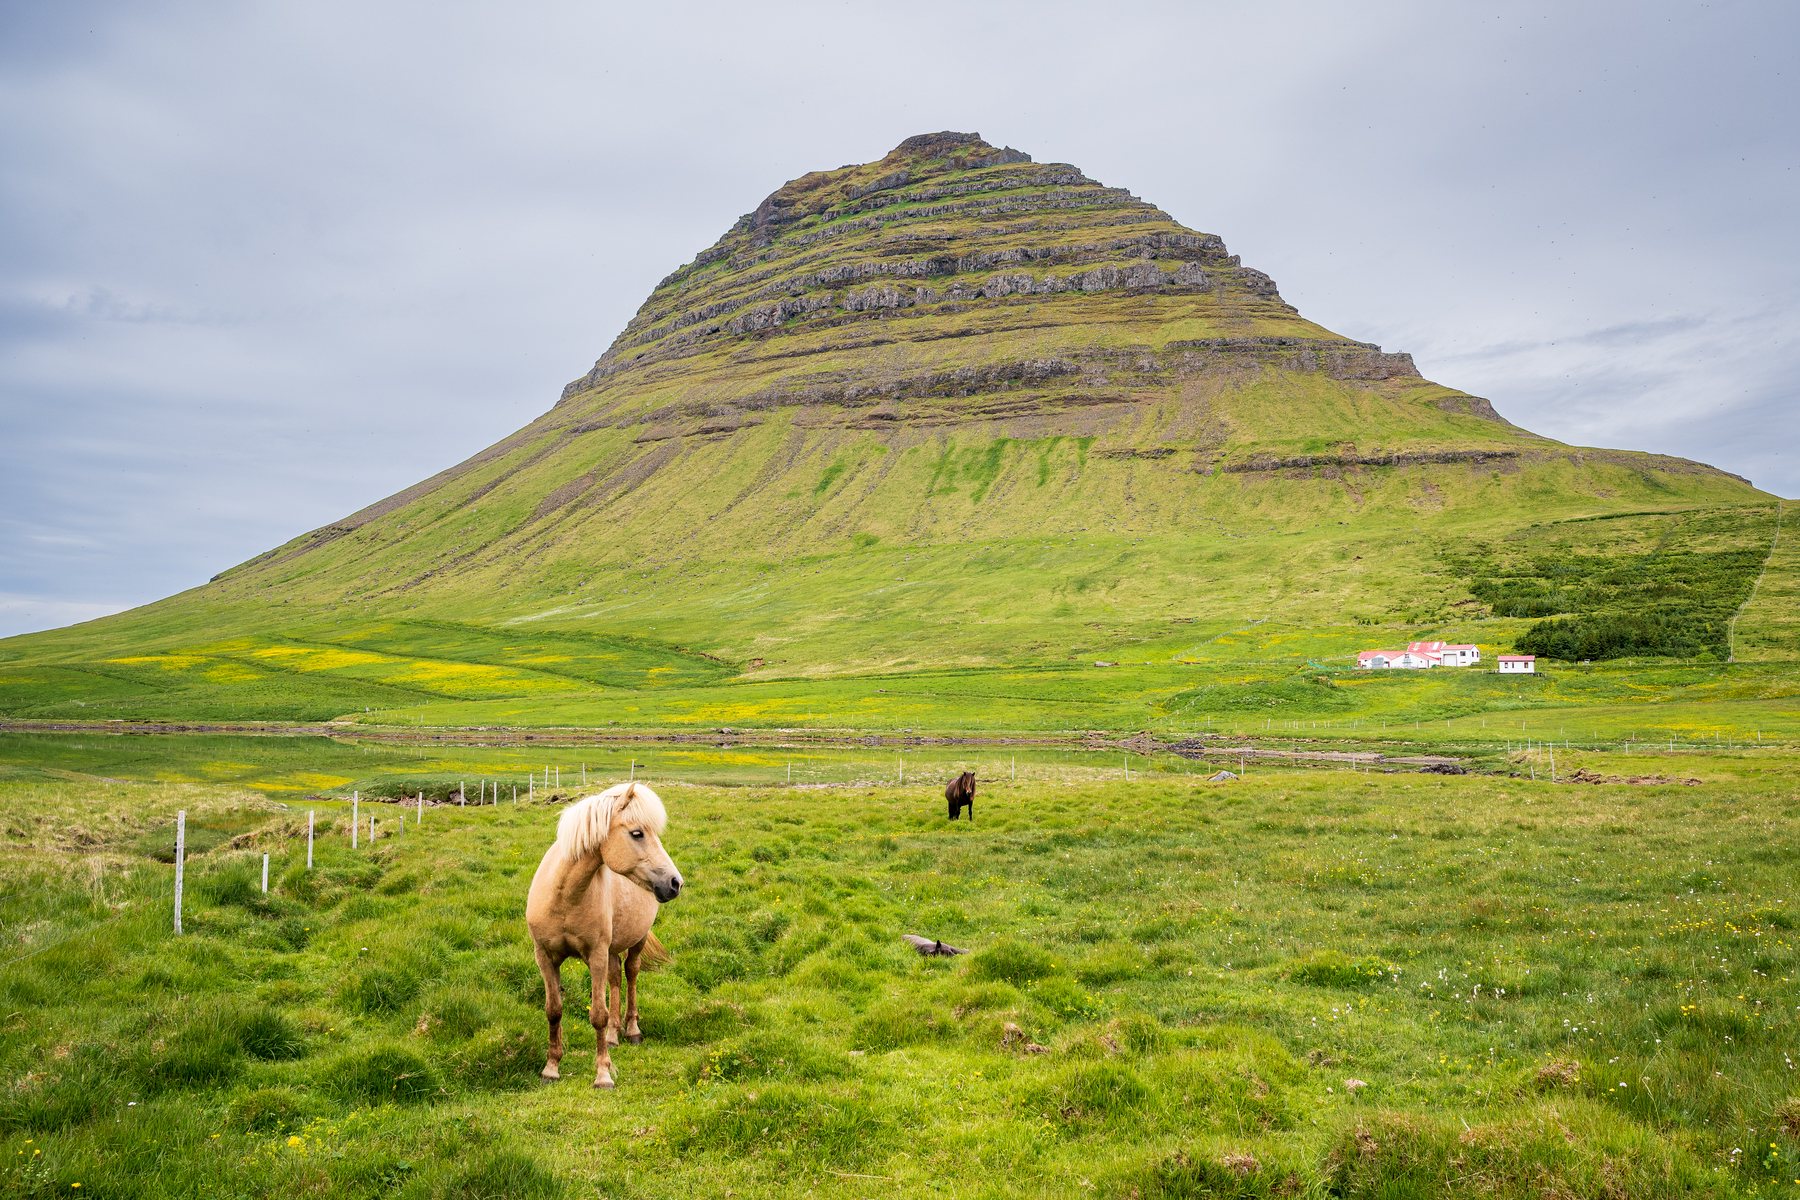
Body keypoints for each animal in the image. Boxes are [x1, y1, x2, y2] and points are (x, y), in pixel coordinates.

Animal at [525, 781, 683, 1088]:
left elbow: (598, 1014)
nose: (675, 883)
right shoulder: (545, 957)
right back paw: (612, 1036)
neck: (564, 896)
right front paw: (551, 1068)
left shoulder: (595, 956)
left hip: (637, 940)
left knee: (631, 974)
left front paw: (603, 1074)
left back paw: (631, 1030)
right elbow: (553, 1010)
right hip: (611, 950)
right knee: (615, 978)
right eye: (637, 833)